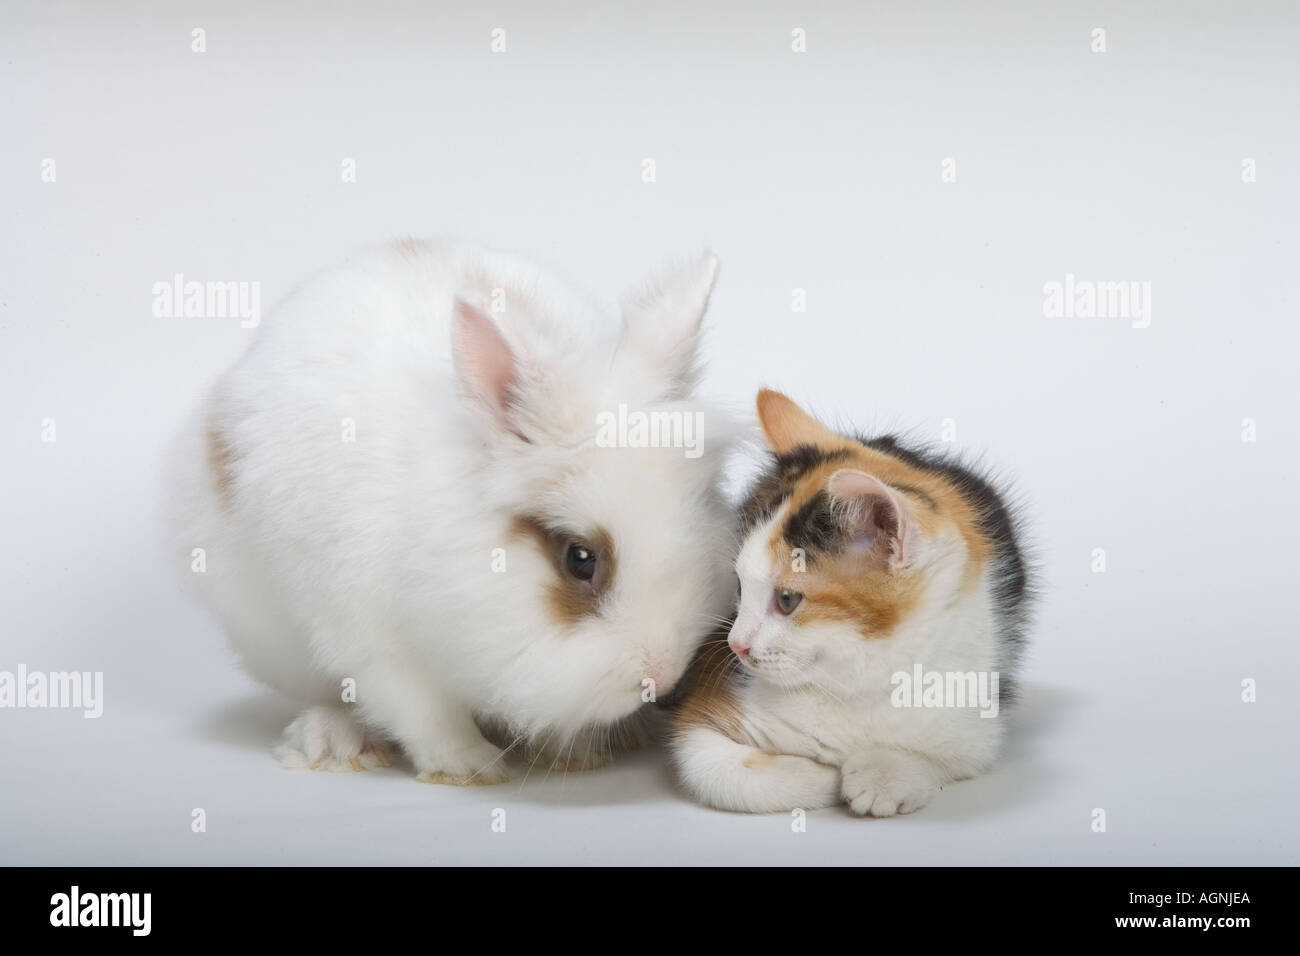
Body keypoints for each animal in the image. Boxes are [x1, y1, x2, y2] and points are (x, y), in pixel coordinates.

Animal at [170, 240, 743, 785]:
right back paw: (334, 743)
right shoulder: (375, 642)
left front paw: (575, 752)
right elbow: (425, 711)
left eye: (702, 516)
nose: (661, 675)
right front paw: (471, 767)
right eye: (580, 559)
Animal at [670, 390, 1024, 816]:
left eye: (787, 599)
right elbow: (716, 770)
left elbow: (940, 758)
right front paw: (823, 775)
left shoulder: (976, 723)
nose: (735, 645)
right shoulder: (708, 706)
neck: (854, 679)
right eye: (739, 587)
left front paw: (882, 776)